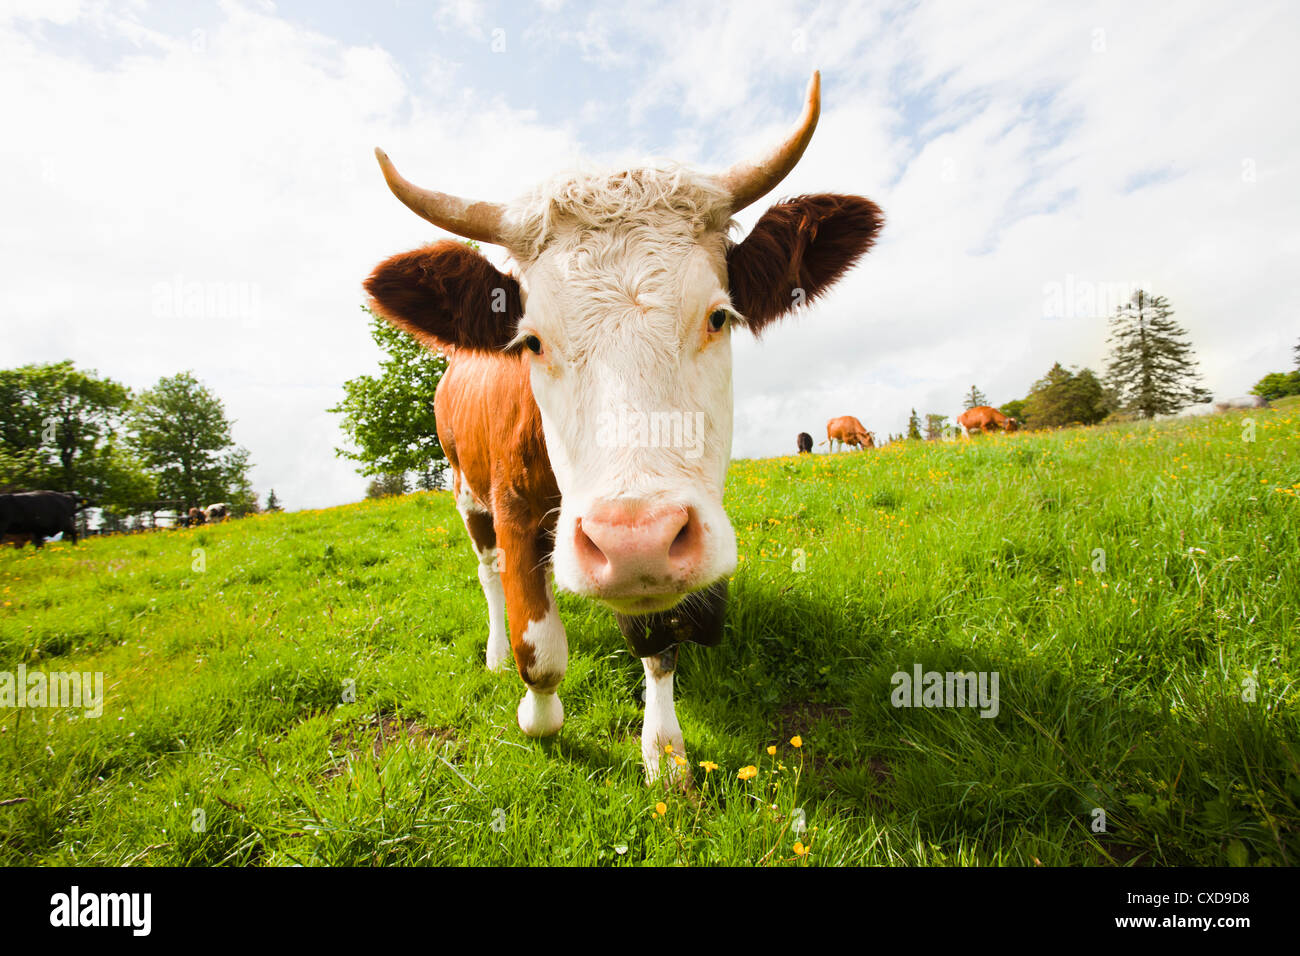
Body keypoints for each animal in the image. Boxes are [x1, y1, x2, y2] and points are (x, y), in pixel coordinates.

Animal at [364, 72, 883, 784]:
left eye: (719, 316)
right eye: (531, 341)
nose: (632, 542)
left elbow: (657, 642)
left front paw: (664, 753)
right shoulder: (514, 507)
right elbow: (540, 650)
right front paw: (538, 718)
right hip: (465, 490)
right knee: (490, 571)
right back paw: (494, 651)